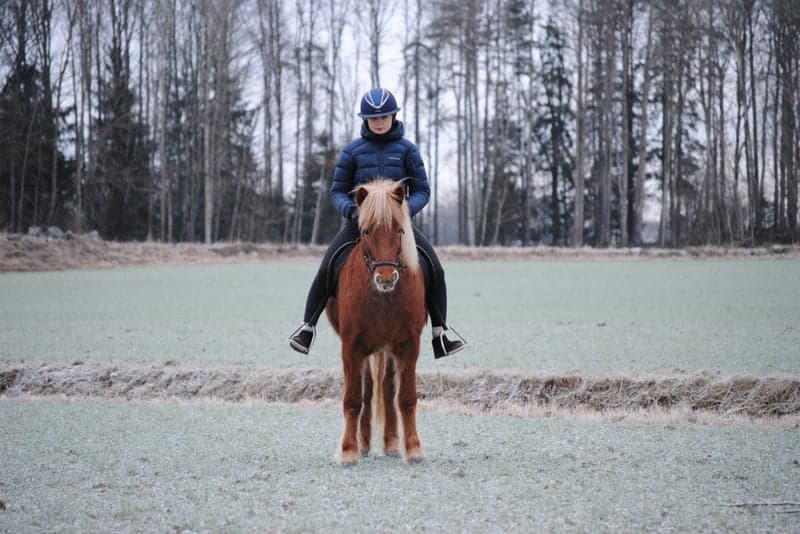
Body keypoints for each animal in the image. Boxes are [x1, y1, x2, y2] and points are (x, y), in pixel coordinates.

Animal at [324, 179, 428, 464]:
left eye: (399, 229)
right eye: (367, 230)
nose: (386, 278)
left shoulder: (409, 345)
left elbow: (406, 397)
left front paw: (413, 449)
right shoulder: (351, 347)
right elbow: (353, 399)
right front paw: (348, 451)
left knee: (387, 388)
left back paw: (391, 443)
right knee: (369, 390)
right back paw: (364, 443)